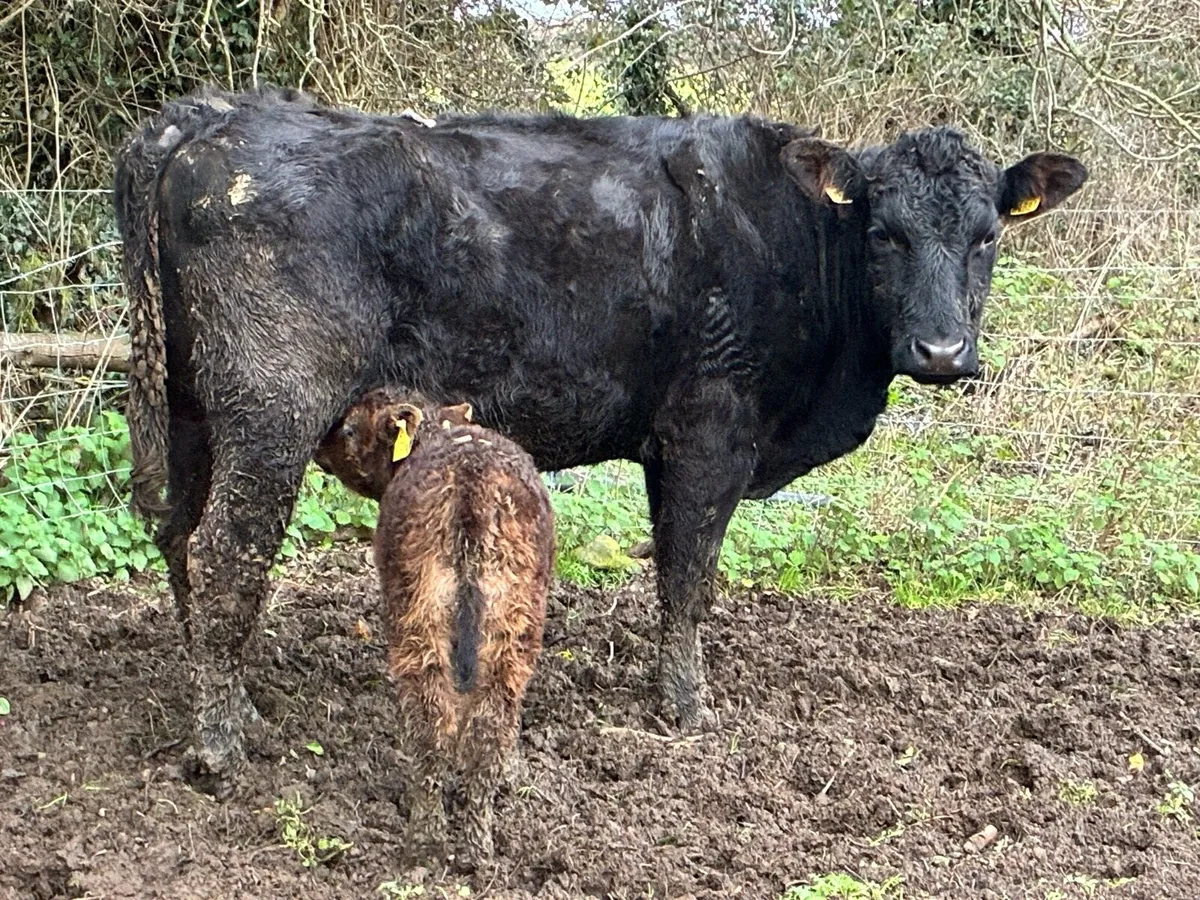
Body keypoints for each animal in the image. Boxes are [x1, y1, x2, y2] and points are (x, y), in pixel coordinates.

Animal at [112, 85, 1086, 798]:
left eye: (986, 238)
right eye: (885, 232)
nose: (942, 351)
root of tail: (209, 115)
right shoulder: (710, 430)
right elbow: (689, 575)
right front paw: (686, 709)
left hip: (188, 404)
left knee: (179, 538)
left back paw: (228, 701)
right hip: (270, 410)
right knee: (228, 553)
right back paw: (222, 746)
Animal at [314, 390, 553, 868]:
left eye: (348, 429)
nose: (319, 448)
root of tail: (472, 486)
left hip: (416, 620)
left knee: (432, 729)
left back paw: (425, 843)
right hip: (511, 628)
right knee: (485, 729)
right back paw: (476, 849)